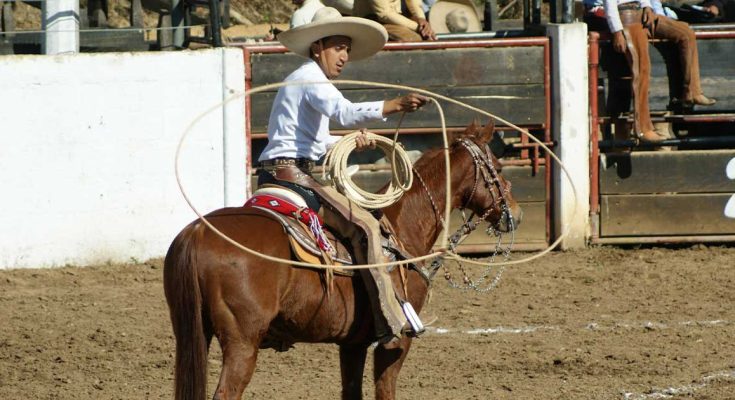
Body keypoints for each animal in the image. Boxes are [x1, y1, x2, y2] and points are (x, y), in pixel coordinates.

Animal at [165, 120, 524, 398]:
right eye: (498, 168)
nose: (516, 214)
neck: (401, 226)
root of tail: (198, 231)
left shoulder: (352, 344)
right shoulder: (396, 343)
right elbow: (384, 390)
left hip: (192, 331)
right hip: (242, 339)